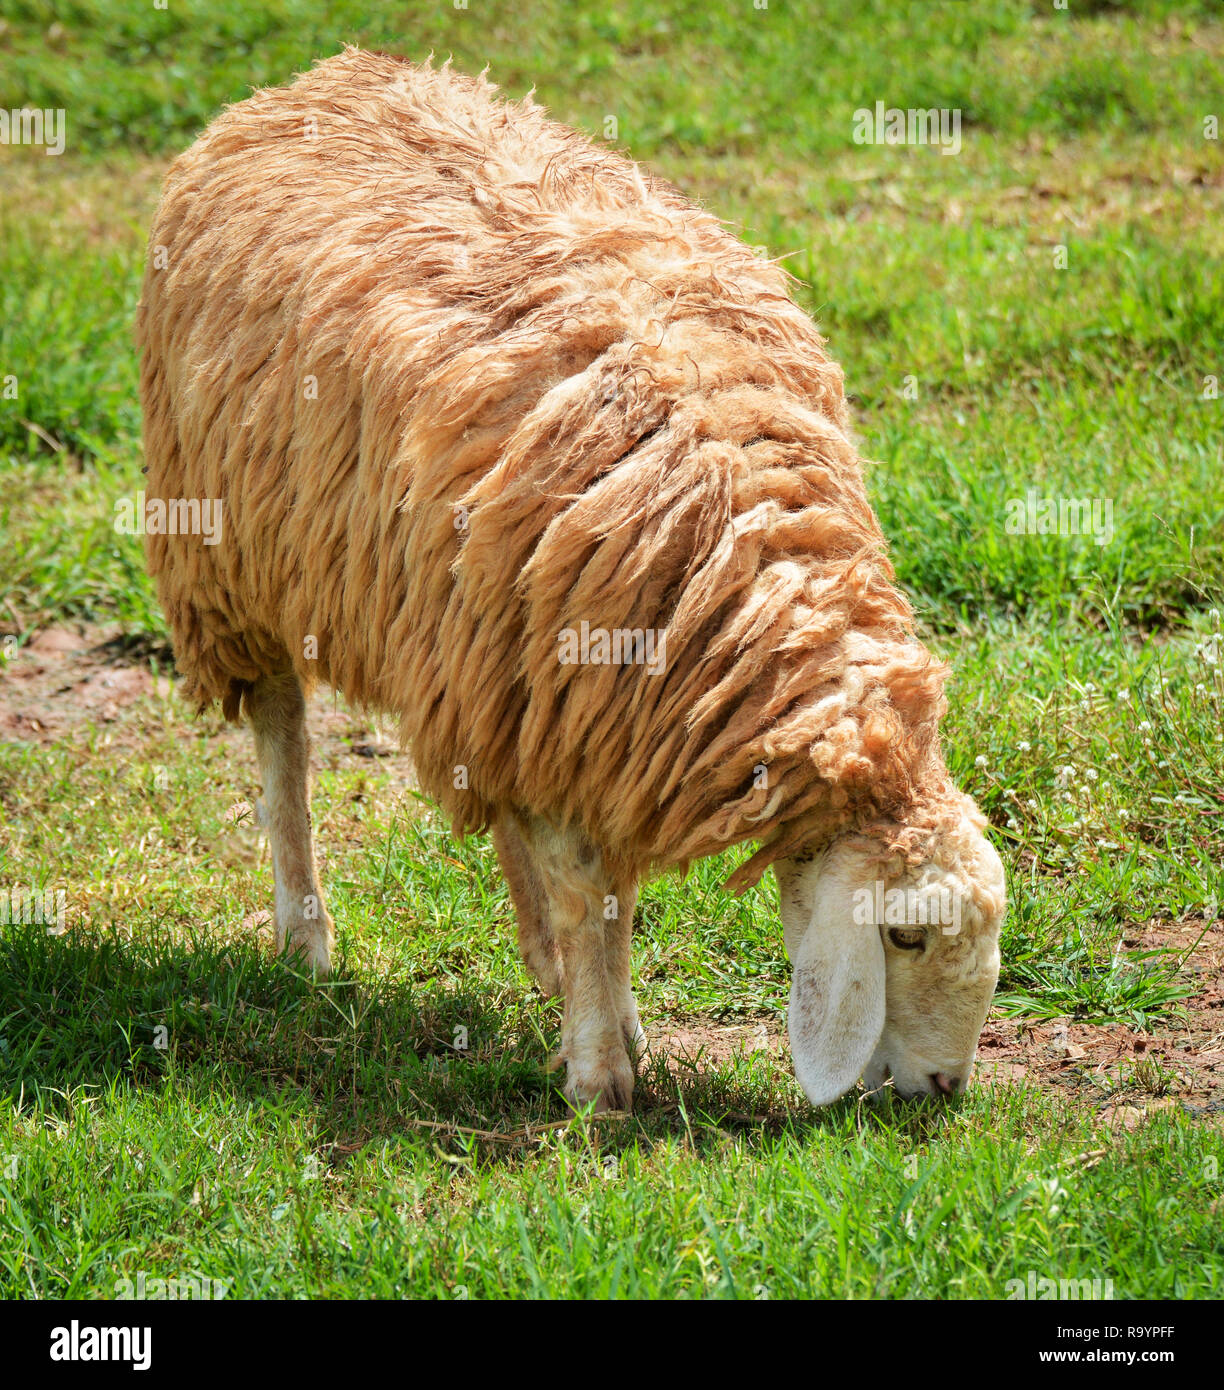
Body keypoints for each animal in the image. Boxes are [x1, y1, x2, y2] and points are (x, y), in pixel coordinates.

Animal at [135, 48, 1006, 1113]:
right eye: (905, 936)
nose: (945, 1086)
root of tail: (326, 75)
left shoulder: (600, 710)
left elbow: (605, 890)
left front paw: (609, 1016)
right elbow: (587, 881)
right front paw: (600, 1076)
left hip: (489, 657)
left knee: (500, 794)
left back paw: (543, 958)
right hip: (235, 554)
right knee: (283, 733)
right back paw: (306, 936)